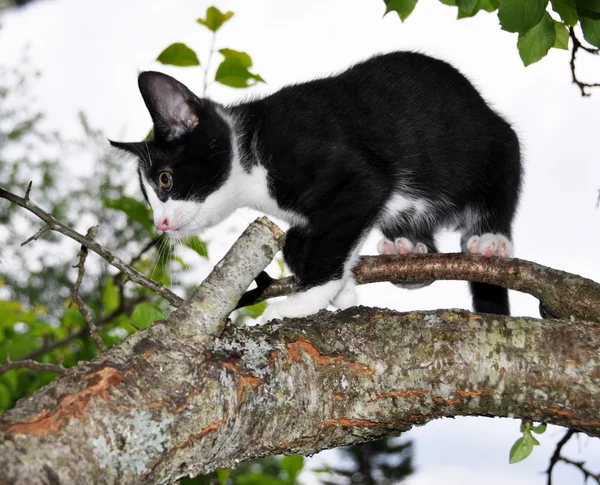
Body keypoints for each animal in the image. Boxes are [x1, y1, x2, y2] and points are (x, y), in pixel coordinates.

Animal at [110, 51, 524, 322]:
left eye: (165, 180)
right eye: (148, 197)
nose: (160, 223)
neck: (250, 153)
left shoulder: (355, 175)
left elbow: (336, 234)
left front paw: (302, 302)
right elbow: (301, 242)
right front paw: (344, 287)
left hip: (491, 142)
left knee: (501, 177)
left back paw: (490, 238)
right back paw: (409, 249)